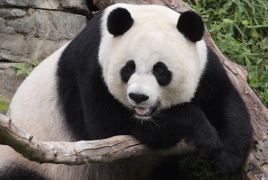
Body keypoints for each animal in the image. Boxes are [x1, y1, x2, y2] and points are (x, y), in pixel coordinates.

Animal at [0, 3, 252, 180]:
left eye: (160, 70)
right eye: (129, 68)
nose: (138, 97)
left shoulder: (204, 64)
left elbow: (225, 100)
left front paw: (227, 158)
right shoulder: (91, 65)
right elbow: (106, 126)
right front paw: (205, 135)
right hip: (28, 159)